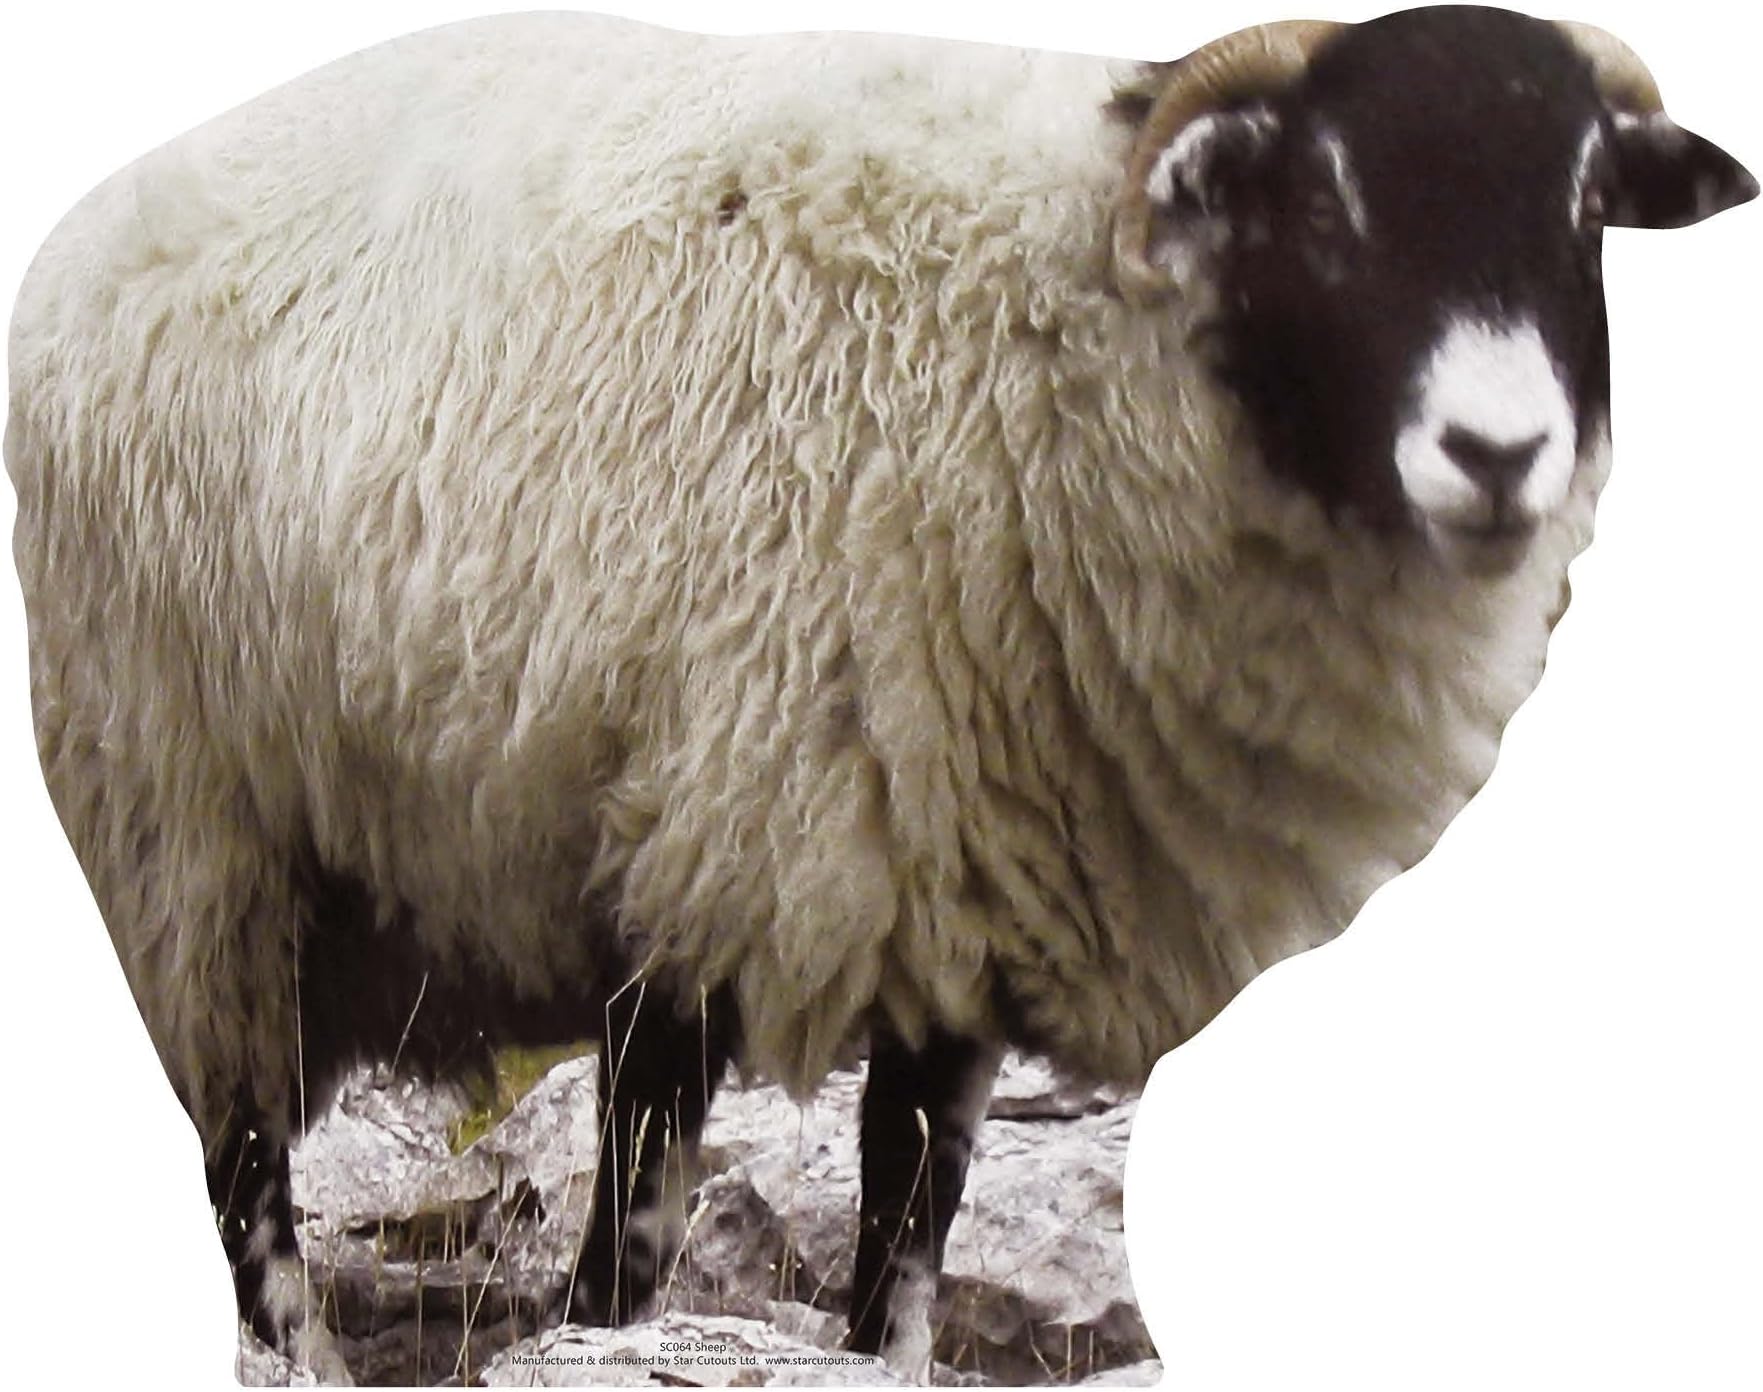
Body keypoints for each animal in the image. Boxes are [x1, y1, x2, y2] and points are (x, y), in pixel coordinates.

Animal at [3, 3, 1755, 1384]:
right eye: (1319, 200)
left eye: (1583, 204)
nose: (1498, 453)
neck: (1079, 345)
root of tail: (95, 214)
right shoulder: (697, 835)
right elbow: (631, 1240)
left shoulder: (962, 896)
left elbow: (908, 1234)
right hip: (186, 831)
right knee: (242, 1174)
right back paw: (291, 1350)